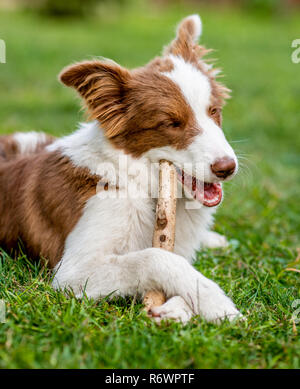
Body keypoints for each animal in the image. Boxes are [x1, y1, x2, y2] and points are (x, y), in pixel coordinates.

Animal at [0, 15, 241, 322]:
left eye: (214, 111)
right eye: (171, 123)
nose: (227, 167)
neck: (136, 182)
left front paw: (179, 308)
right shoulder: (73, 273)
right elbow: (154, 257)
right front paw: (215, 302)